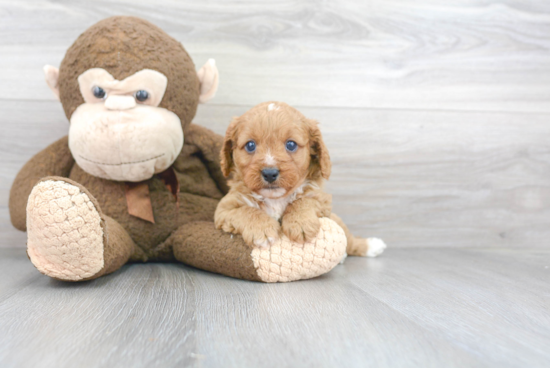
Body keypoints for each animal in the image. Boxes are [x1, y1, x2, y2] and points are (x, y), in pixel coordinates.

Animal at [213, 100, 386, 256]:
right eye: (250, 145)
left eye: (291, 144)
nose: (269, 173)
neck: (276, 199)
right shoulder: (224, 209)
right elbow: (247, 210)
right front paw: (262, 229)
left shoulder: (322, 200)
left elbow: (302, 201)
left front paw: (300, 224)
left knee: (349, 240)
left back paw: (372, 245)